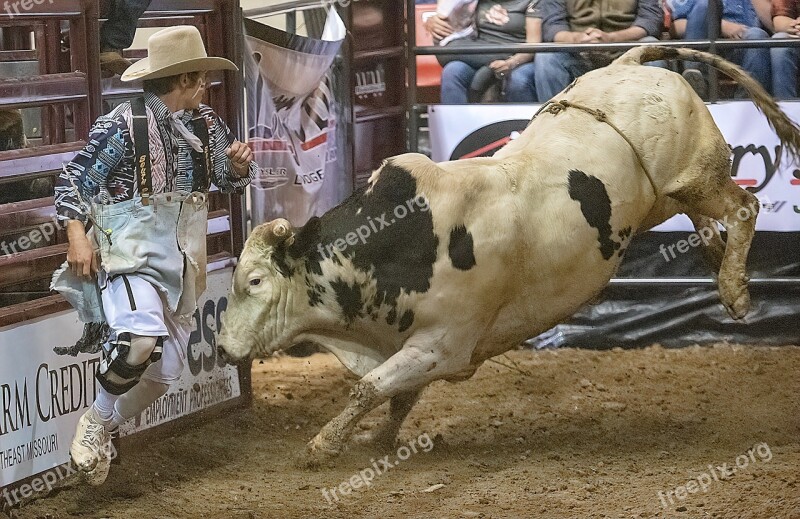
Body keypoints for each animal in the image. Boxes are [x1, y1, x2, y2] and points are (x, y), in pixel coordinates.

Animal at [216, 46, 800, 466]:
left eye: (255, 282)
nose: (221, 348)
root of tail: (631, 64)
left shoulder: (442, 345)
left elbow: (369, 387)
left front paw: (322, 446)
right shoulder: (413, 344)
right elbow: (396, 395)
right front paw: (378, 439)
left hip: (697, 174)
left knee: (744, 206)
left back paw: (735, 291)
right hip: (667, 197)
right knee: (705, 216)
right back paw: (715, 260)